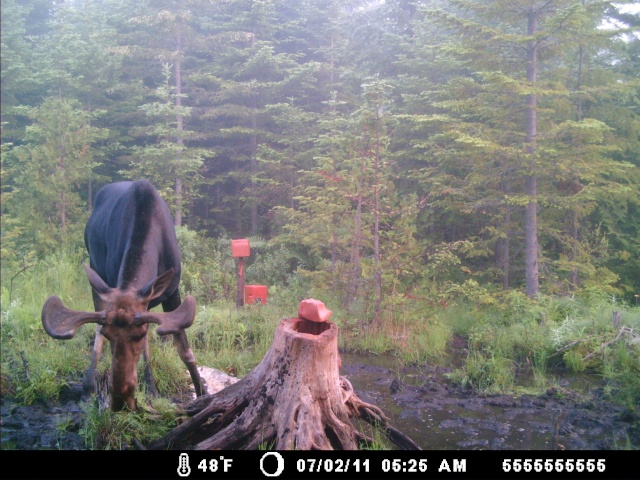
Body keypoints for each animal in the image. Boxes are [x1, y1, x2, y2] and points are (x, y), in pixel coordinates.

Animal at [42, 178, 205, 410]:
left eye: (138, 334)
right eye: (111, 336)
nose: (119, 397)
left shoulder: (172, 290)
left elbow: (184, 351)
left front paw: (201, 392)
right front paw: (151, 387)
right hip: (95, 269)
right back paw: (88, 385)